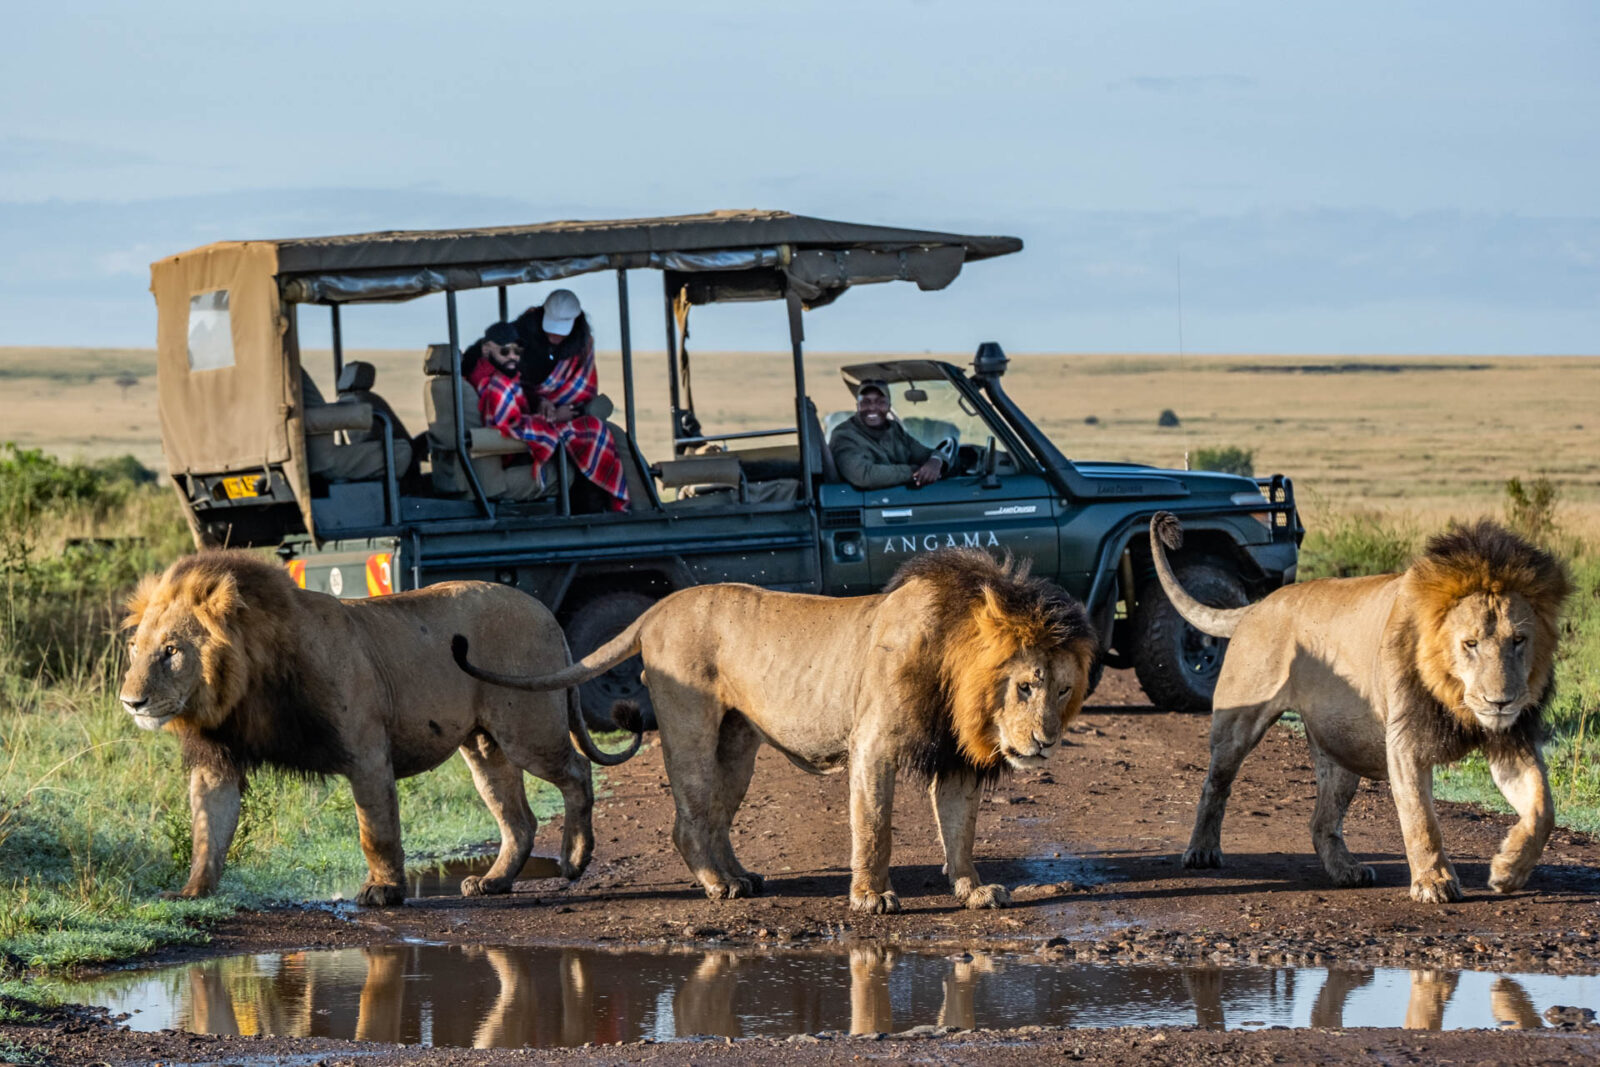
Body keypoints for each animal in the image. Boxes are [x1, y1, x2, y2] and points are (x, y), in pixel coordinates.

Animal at [119, 551, 637, 906]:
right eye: (136, 648)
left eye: (171, 651)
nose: (131, 701)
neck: (246, 684)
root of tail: (547, 614)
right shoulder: (218, 757)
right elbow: (208, 828)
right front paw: (192, 891)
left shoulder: (366, 750)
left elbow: (376, 830)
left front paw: (383, 890)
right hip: (484, 745)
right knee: (520, 819)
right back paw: (493, 881)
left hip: (528, 729)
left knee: (577, 773)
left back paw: (574, 859)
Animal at [453, 549, 1098, 913]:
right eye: (1026, 686)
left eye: (1064, 689)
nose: (1045, 742)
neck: (957, 673)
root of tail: (659, 609)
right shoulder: (874, 744)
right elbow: (875, 827)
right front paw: (872, 899)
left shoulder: (958, 759)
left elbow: (961, 832)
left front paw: (973, 891)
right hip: (689, 727)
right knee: (688, 818)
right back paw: (716, 886)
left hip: (737, 743)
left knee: (717, 813)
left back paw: (740, 878)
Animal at [1149, 512, 1571, 903]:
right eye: (1470, 644)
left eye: (1518, 640)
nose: (1501, 701)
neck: (1454, 696)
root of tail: (1258, 606)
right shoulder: (1404, 743)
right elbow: (1420, 817)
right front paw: (1433, 883)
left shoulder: (1512, 741)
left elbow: (1543, 810)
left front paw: (1508, 870)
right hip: (1237, 724)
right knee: (1215, 785)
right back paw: (1202, 851)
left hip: (1341, 749)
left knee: (1321, 821)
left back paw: (1345, 870)